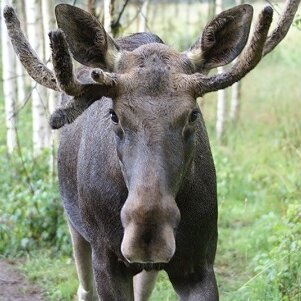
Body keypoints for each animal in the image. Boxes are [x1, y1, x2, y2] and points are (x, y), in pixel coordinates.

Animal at [3, 0, 298, 298]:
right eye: (114, 115)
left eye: (193, 114)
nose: (148, 235)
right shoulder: (107, 260)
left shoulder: (199, 262)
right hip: (76, 228)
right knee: (84, 288)